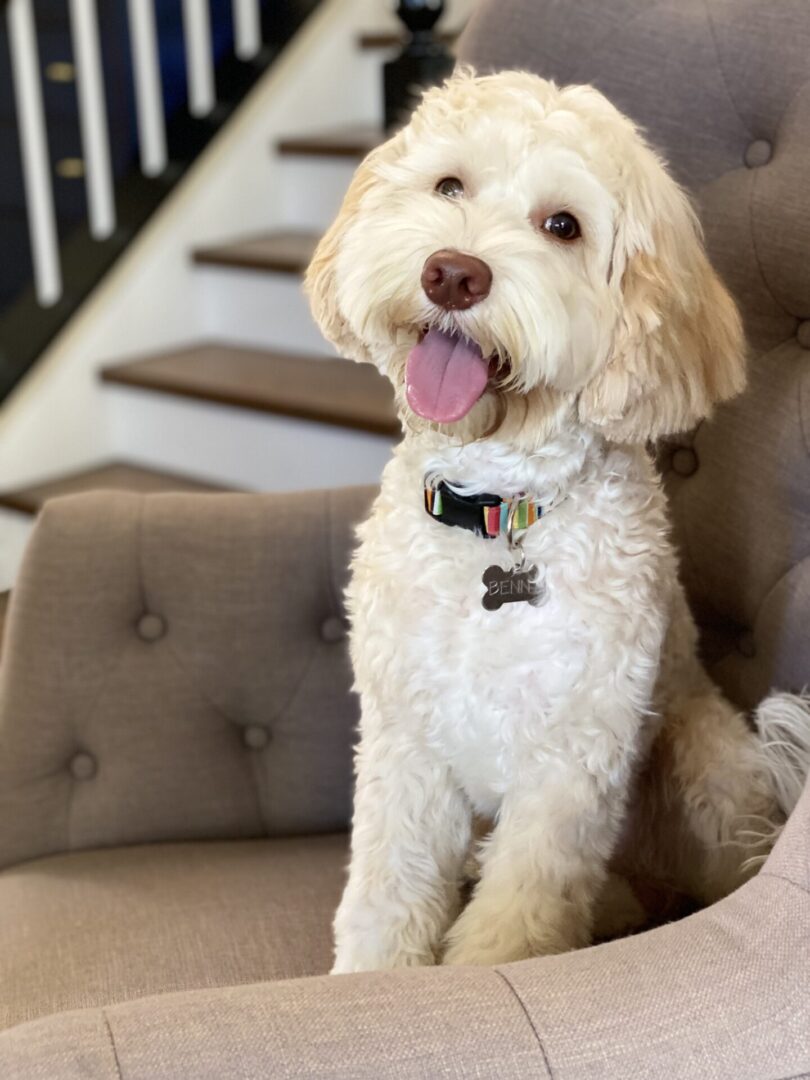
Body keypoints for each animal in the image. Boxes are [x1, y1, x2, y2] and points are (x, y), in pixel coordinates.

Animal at [306, 71, 810, 976]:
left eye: (563, 226)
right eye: (449, 186)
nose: (453, 274)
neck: (499, 512)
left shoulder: (571, 765)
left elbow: (518, 920)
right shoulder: (406, 744)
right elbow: (388, 892)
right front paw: (371, 978)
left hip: (705, 756)